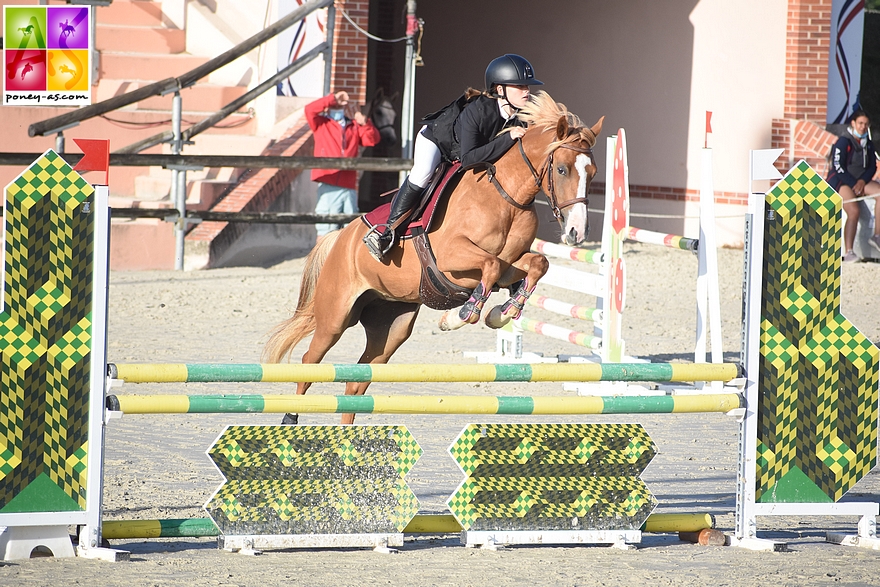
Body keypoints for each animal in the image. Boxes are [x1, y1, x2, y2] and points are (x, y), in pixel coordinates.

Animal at [264, 90, 600, 422]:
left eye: (592, 172)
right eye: (562, 169)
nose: (577, 232)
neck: (506, 196)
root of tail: (341, 239)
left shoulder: (511, 262)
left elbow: (537, 264)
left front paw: (500, 313)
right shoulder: (453, 257)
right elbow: (489, 266)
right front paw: (459, 316)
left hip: (391, 325)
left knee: (357, 382)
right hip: (335, 317)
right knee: (310, 361)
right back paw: (290, 420)